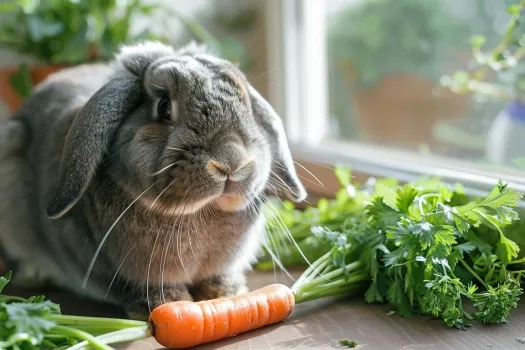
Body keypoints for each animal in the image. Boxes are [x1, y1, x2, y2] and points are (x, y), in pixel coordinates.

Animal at [0, 40, 308, 318]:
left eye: (247, 107)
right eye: (163, 107)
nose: (231, 163)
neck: (195, 213)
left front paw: (227, 292)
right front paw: (164, 302)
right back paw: (33, 275)